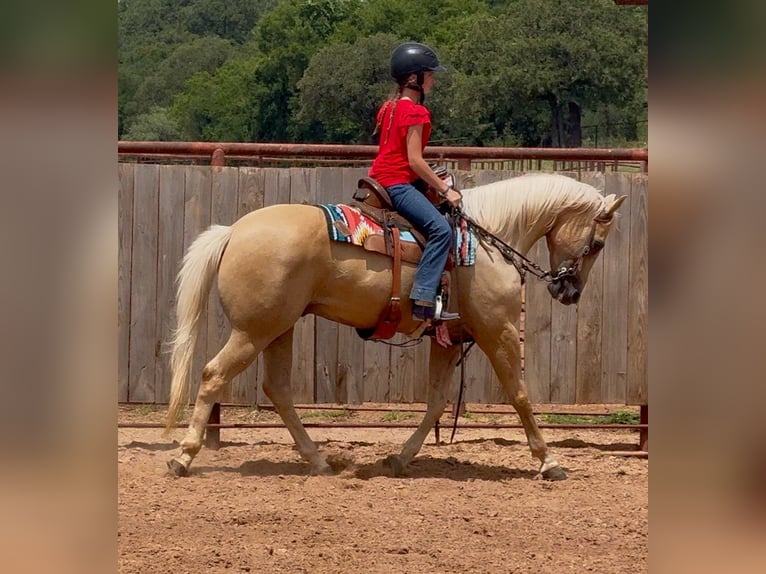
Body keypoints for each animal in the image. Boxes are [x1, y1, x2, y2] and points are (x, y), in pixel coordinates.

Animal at [165, 173, 626, 479]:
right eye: (597, 244)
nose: (569, 291)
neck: (486, 240)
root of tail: (233, 231)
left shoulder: (448, 339)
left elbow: (437, 402)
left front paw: (401, 458)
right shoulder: (499, 331)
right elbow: (520, 394)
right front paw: (549, 461)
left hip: (279, 327)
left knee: (277, 389)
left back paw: (319, 460)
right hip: (254, 330)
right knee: (213, 374)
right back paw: (183, 456)